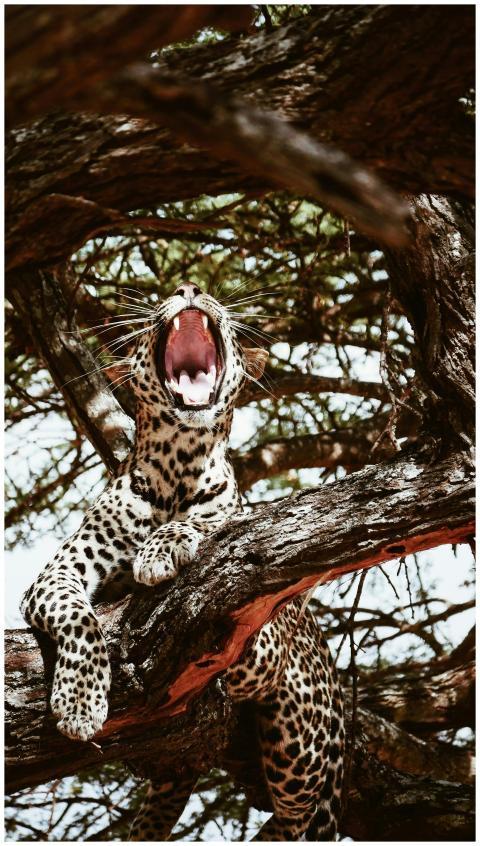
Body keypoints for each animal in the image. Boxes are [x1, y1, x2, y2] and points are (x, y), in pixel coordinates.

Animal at [21, 283, 344, 841]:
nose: (191, 289)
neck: (178, 462)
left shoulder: (260, 635)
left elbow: (212, 524)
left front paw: (161, 548)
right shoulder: (56, 574)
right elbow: (80, 619)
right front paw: (80, 703)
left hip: (300, 739)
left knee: (294, 821)